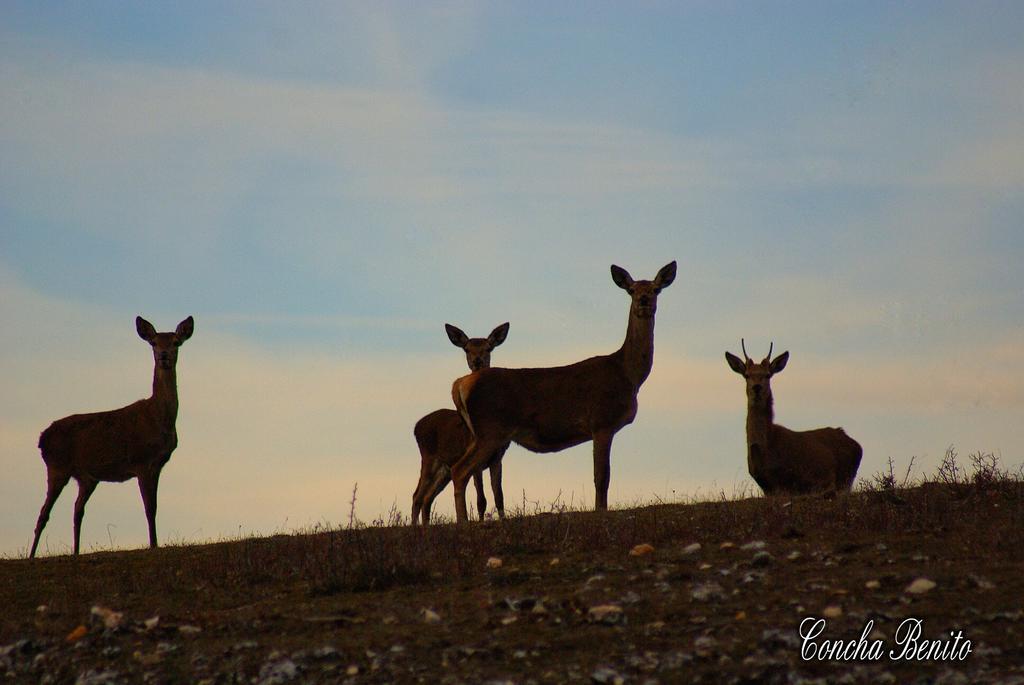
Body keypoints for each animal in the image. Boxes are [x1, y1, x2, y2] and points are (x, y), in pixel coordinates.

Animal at [29, 315, 192, 557]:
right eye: (153, 342)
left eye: (175, 342)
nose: (164, 356)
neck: (158, 418)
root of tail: (41, 439)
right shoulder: (141, 461)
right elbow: (149, 508)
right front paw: (153, 544)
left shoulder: (158, 465)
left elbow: (155, 506)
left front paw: (155, 542)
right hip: (57, 466)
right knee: (44, 513)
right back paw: (32, 555)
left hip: (86, 478)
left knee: (77, 509)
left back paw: (76, 551)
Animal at [409, 321, 509, 524]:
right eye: (467, 349)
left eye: (488, 348)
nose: (477, 361)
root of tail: (416, 426)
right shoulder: (475, 458)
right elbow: (481, 500)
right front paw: (480, 522)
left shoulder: (498, 457)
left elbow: (499, 495)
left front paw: (503, 521)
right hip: (428, 457)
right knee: (417, 496)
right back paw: (414, 527)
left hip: (444, 470)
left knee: (427, 497)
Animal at [446, 262, 671, 524]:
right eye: (632, 290)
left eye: (656, 289)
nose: (644, 300)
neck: (627, 374)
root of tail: (460, 384)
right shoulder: (602, 421)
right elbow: (601, 476)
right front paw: (600, 511)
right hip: (491, 429)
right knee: (460, 470)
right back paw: (463, 522)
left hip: (482, 433)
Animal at [724, 339, 860, 493]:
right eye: (747, 375)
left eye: (767, 375)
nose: (757, 387)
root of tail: (857, 446)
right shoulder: (766, 487)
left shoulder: (787, 481)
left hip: (845, 478)